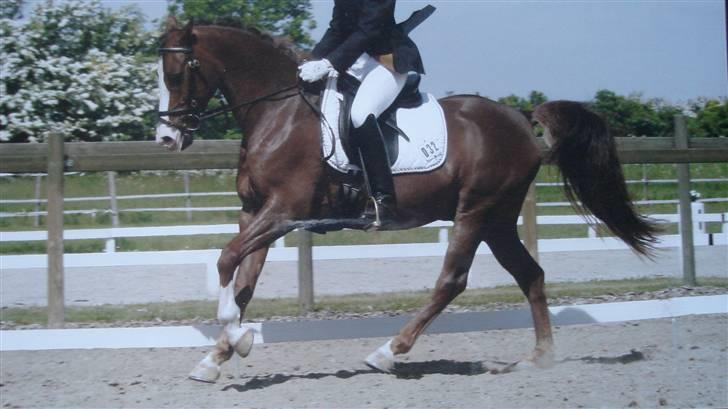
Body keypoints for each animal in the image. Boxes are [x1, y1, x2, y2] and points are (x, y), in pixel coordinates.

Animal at [156, 17, 657, 383]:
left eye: (177, 74)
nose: (166, 139)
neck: (278, 111)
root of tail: (518, 116)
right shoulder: (256, 212)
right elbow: (244, 280)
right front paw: (220, 354)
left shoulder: (285, 210)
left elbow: (226, 261)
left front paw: (233, 336)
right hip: (498, 219)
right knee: (530, 274)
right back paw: (539, 358)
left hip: (475, 211)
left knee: (452, 281)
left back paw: (387, 352)